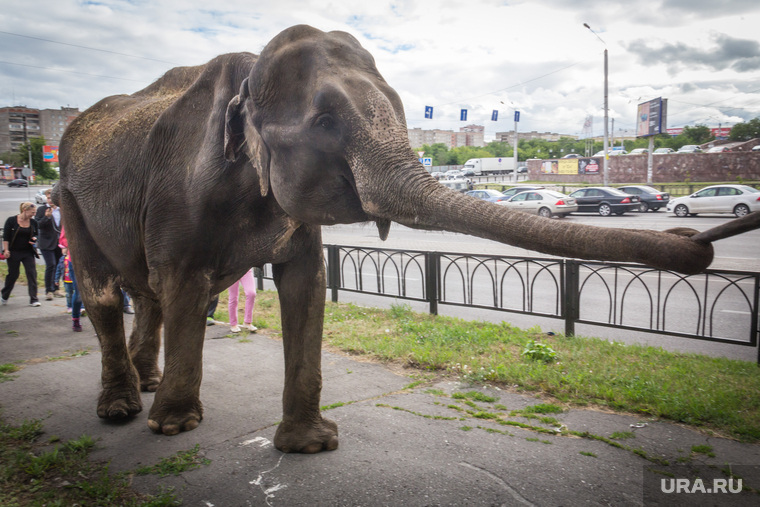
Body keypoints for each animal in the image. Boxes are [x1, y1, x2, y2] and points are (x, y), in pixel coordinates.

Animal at [56, 23, 740, 454]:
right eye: (325, 121)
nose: (693, 236)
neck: (249, 79)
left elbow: (306, 285)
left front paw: (311, 446)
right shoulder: (180, 197)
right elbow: (186, 284)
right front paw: (175, 430)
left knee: (145, 291)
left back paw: (144, 387)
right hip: (69, 201)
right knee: (108, 292)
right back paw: (125, 409)